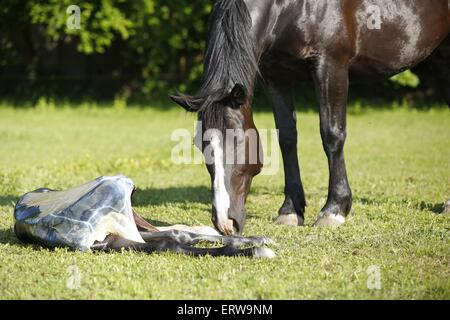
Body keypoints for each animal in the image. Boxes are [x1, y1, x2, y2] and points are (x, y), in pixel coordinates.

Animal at [14, 176, 274, 258]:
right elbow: (173, 242)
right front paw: (256, 248)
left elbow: (178, 237)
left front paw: (257, 244)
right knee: (175, 237)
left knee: (177, 234)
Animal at [171, 0, 448, 235]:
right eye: (200, 145)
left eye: (238, 140)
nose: (225, 223)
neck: (290, 7)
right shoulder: (276, 75)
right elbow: (286, 138)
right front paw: (291, 210)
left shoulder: (331, 65)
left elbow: (332, 135)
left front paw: (334, 209)